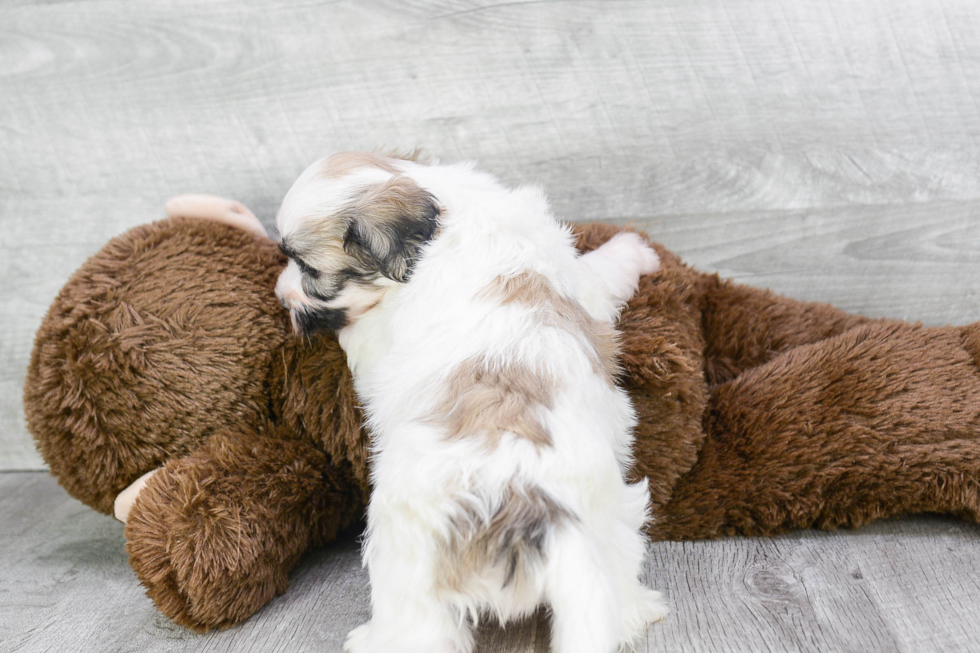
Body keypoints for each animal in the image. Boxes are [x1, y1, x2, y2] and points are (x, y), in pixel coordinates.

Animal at [280, 153, 668, 652]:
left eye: (307, 270)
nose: (280, 294)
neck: (446, 215)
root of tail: (532, 510)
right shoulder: (579, 282)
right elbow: (599, 272)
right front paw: (637, 249)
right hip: (613, 530)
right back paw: (637, 612)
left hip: (403, 555)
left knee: (421, 629)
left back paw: (374, 639)